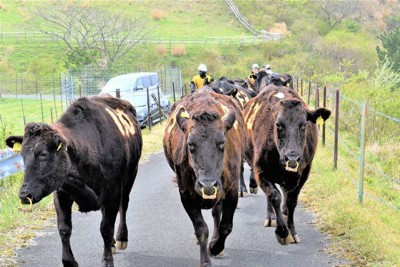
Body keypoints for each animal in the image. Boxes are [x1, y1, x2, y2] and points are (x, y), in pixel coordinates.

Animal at [5, 96, 142, 267]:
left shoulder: (113, 193)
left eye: (43, 153)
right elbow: (64, 229)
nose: (24, 194)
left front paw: (107, 260)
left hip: (131, 174)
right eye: (22, 155)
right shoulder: (61, 192)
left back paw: (121, 238)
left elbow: (106, 228)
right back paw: (111, 244)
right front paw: (69, 261)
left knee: (124, 205)